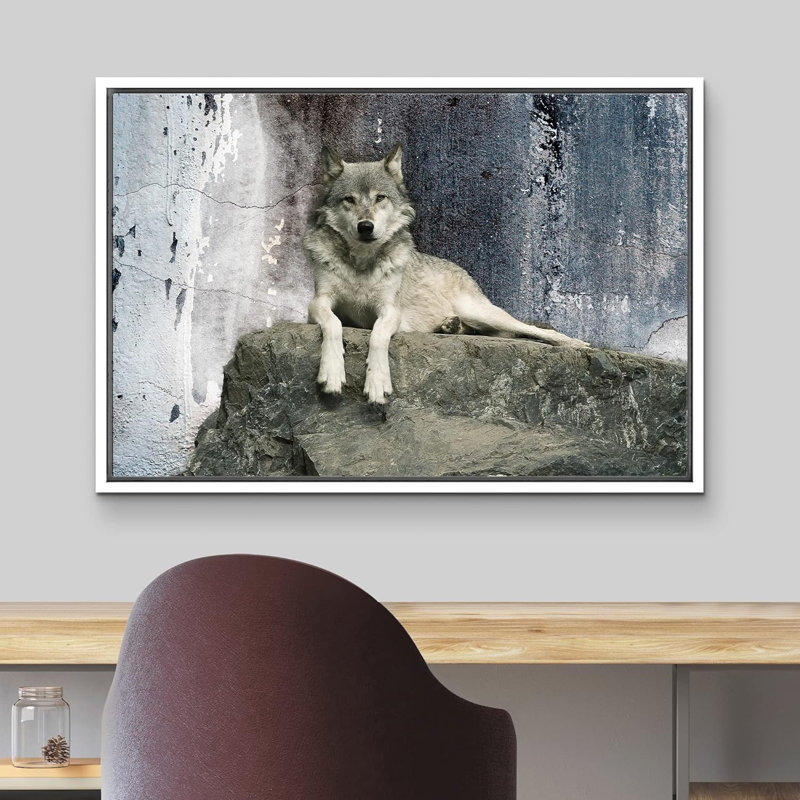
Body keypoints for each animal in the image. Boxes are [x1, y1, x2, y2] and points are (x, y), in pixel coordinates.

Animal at [303, 144, 589, 404]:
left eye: (380, 198)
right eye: (349, 199)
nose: (365, 226)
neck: (361, 263)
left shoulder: (390, 310)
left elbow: (378, 335)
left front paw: (377, 382)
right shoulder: (318, 302)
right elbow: (334, 324)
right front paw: (332, 372)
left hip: (482, 312)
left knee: (532, 329)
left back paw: (576, 343)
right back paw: (451, 326)